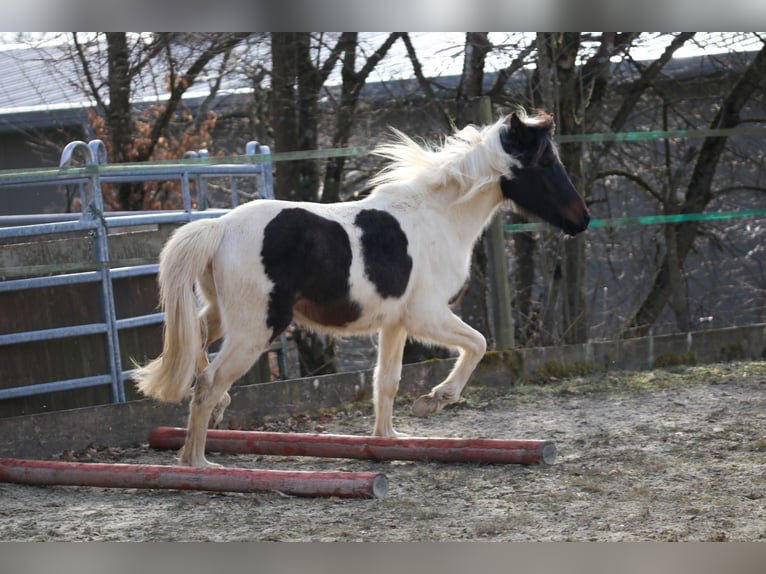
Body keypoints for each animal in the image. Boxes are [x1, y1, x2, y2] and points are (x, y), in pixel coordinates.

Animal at [132, 108, 590, 467]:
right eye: (545, 162)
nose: (582, 219)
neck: (439, 217)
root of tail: (220, 227)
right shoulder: (427, 316)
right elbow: (477, 343)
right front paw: (434, 400)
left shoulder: (396, 324)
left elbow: (386, 381)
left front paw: (389, 440)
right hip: (255, 329)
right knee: (207, 384)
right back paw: (197, 463)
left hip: (223, 316)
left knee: (193, 339)